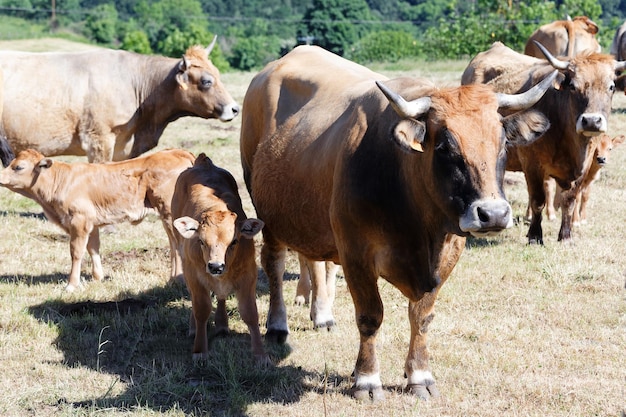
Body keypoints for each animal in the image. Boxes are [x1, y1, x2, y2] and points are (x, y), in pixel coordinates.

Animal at [0, 148, 194, 290]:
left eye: (18, 167)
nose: (0, 177)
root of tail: (173, 152)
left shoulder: (79, 221)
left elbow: (76, 252)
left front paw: (72, 284)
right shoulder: (91, 224)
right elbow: (93, 248)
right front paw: (98, 277)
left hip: (169, 213)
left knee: (178, 245)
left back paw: (177, 280)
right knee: (173, 245)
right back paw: (172, 279)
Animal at [171, 152, 268, 364]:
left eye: (234, 241)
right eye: (201, 241)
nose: (215, 266)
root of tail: (203, 162)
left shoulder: (249, 275)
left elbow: (250, 313)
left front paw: (260, 354)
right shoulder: (194, 275)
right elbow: (201, 309)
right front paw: (200, 350)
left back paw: (222, 324)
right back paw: (193, 328)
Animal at [240, 45, 556, 400]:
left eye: (503, 143)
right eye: (444, 146)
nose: (493, 214)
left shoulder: (447, 255)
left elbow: (422, 316)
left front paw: (419, 375)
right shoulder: (356, 254)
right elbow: (370, 316)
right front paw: (366, 379)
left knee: (314, 260)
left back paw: (321, 314)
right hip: (267, 211)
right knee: (275, 263)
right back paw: (277, 325)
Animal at [458, 40, 624, 242]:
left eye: (611, 87)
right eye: (573, 86)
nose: (591, 121)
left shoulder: (582, 169)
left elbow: (569, 200)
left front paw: (565, 236)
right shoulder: (533, 165)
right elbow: (538, 200)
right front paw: (535, 236)